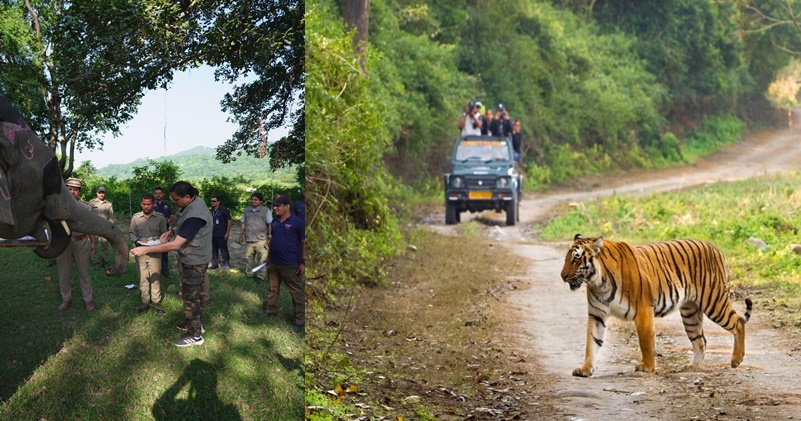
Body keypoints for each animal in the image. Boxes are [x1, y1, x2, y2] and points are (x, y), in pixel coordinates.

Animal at [564, 235, 752, 376]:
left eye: (576, 259)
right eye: (567, 258)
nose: (562, 276)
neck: (598, 282)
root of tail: (715, 248)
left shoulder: (643, 310)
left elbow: (646, 341)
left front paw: (647, 366)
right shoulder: (597, 315)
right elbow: (592, 342)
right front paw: (585, 369)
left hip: (714, 301)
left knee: (738, 322)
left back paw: (736, 360)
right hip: (690, 313)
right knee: (701, 340)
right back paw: (692, 366)